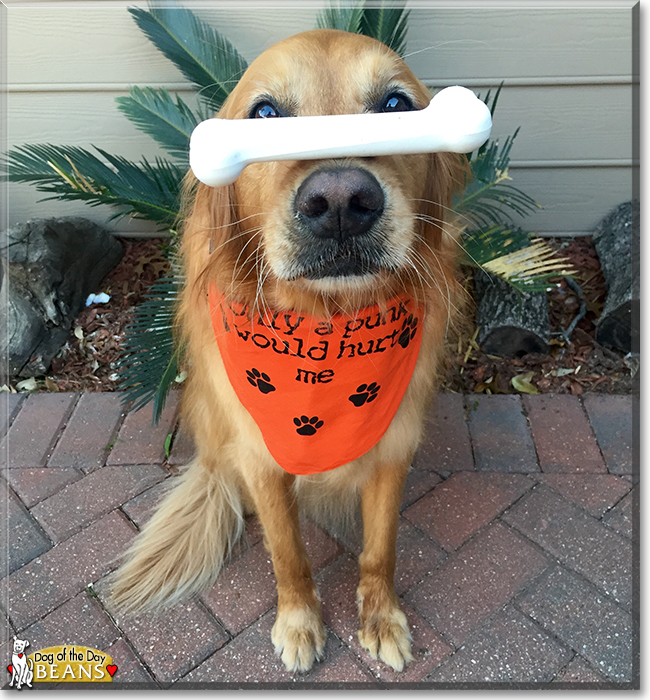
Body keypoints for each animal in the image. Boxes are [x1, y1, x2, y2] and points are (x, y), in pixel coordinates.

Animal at [111, 28, 466, 672]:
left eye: (396, 106)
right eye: (266, 115)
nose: (342, 201)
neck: (326, 326)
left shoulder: (393, 448)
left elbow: (380, 550)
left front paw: (382, 618)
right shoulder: (261, 456)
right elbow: (288, 554)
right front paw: (299, 623)